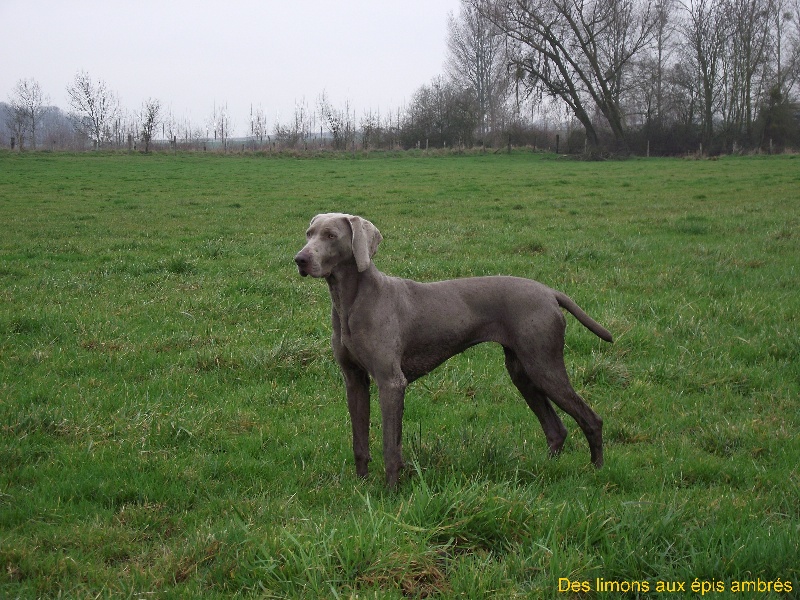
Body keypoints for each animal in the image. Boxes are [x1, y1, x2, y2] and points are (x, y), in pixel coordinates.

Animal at [294, 213, 612, 486]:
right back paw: (547, 469)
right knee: (556, 429)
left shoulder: (391, 382)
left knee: (591, 419)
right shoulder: (354, 380)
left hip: (543, 366)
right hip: (522, 372)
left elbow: (390, 446)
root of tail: (549, 292)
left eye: (331, 235)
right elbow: (359, 441)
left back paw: (597, 472)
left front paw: (391, 493)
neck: (351, 302)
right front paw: (361, 485)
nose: (299, 259)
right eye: (309, 233)